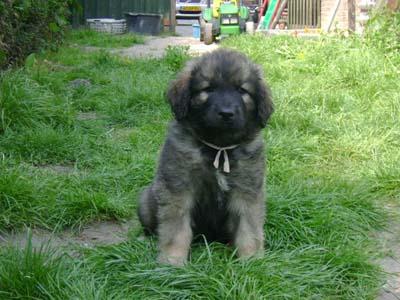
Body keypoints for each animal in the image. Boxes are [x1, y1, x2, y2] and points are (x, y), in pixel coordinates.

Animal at [139, 48, 274, 266]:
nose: (226, 113)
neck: (219, 147)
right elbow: (176, 230)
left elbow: (249, 229)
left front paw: (252, 259)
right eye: (208, 89)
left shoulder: (247, 190)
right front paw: (172, 260)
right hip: (145, 199)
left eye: (242, 91)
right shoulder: (178, 189)